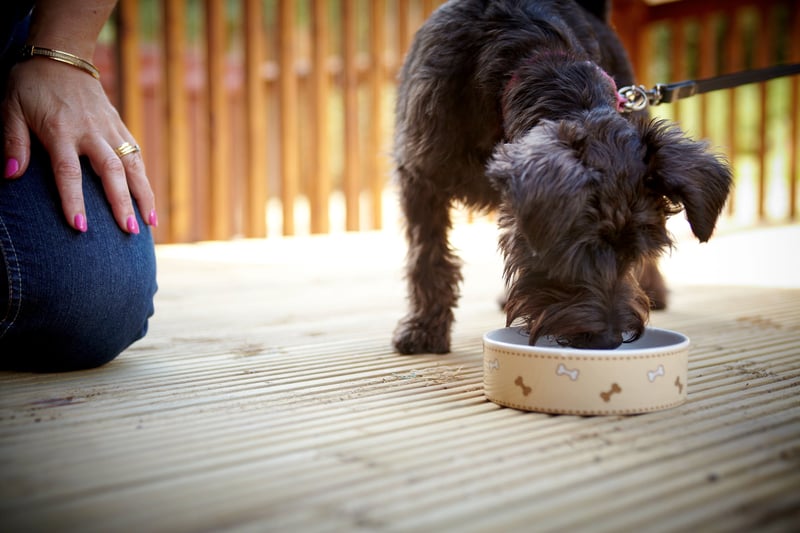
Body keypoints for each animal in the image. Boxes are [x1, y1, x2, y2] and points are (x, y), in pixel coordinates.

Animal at [390, 0, 736, 354]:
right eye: (574, 247)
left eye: (634, 252)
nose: (609, 340)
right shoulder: (420, 176)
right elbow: (427, 257)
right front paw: (424, 329)